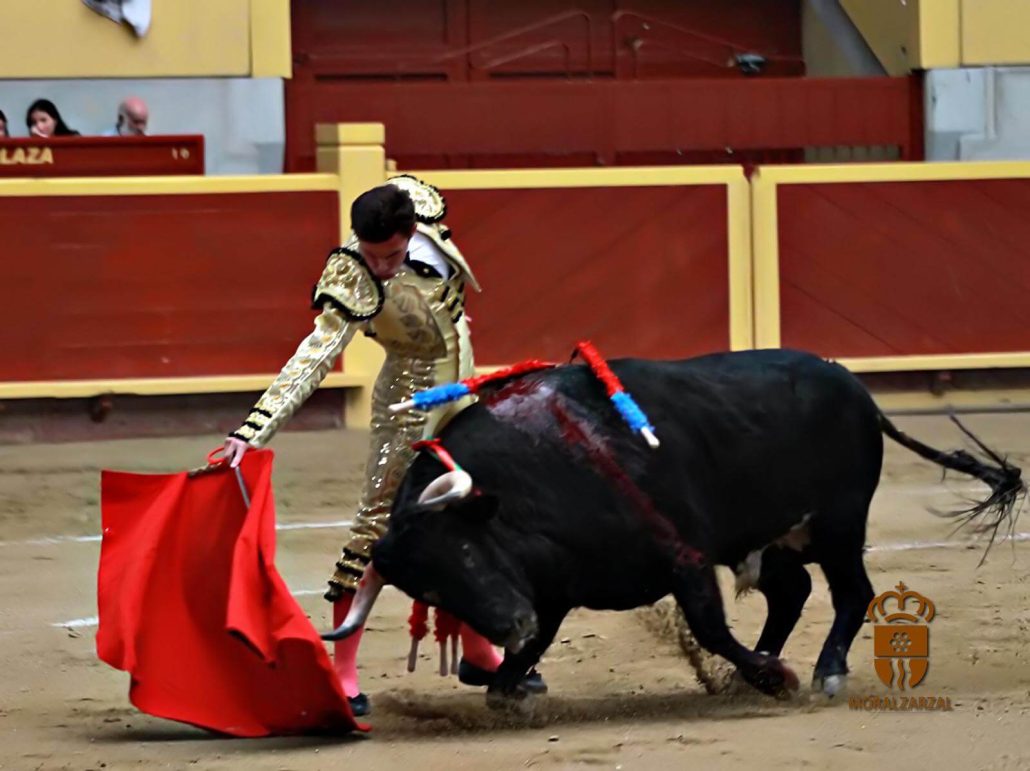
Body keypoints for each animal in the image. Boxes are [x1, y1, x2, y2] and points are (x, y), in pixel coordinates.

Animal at [324, 349, 1024, 705]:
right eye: (430, 590)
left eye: (464, 550)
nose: (509, 622)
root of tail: (863, 395)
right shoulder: (555, 583)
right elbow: (535, 646)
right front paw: (508, 685)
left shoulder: (682, 555)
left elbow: (710, 628)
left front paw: (775, 678)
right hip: (775, 537)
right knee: (793, 591)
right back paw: (764, 668)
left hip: (838, 524)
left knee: (852, 591)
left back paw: (823, 672)